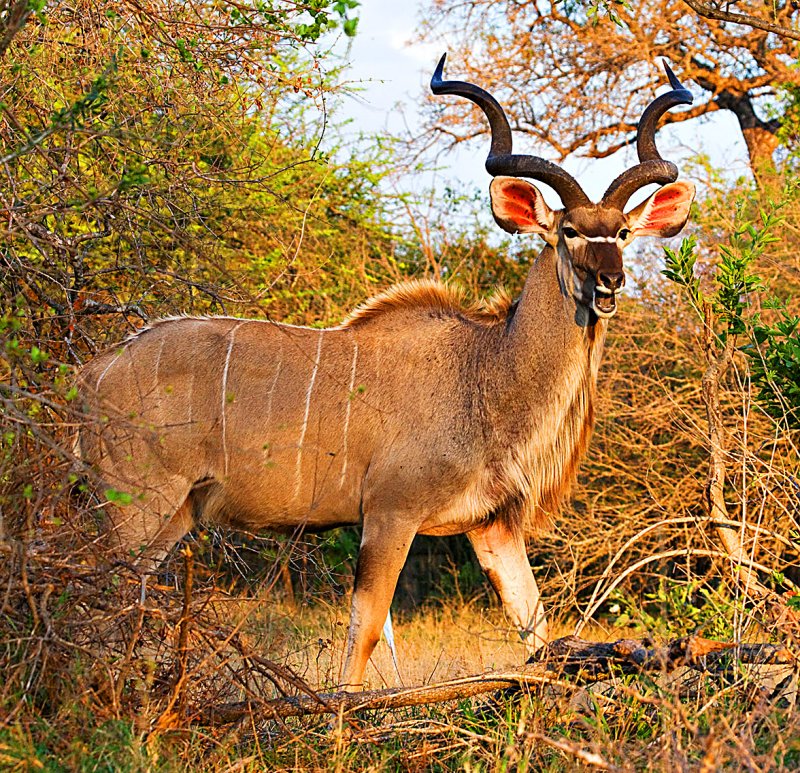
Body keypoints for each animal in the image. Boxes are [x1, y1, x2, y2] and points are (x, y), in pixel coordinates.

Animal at [78, 57, 696, 692]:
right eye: (569, 231)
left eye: (622, 232)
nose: (610, 282)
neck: (485, 373)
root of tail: (93, 373)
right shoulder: (390, 513)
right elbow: (367, 631)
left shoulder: (491, 528)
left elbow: (536, 627)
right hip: (138, 503)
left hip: (175, 513)